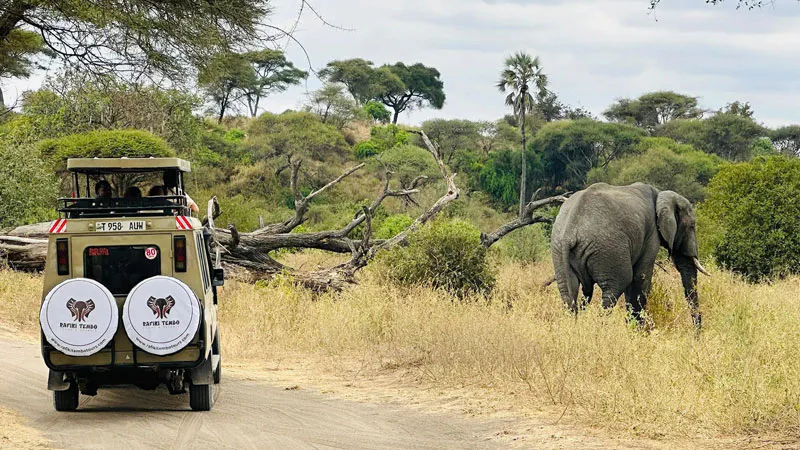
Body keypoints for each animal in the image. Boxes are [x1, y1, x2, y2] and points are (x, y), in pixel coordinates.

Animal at [550, 182, 710, 327]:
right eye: (692, 226)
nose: (697, 335)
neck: (660, 194)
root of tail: (570, 232)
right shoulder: (651, 235)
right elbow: (640, 278)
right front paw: (638, 330)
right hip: (609, 248)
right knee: (615, 288)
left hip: (559, 251)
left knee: (569, 294)